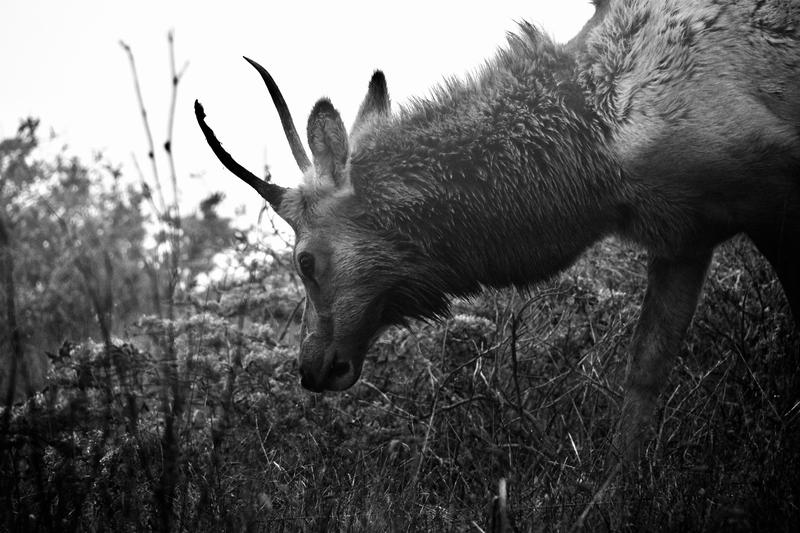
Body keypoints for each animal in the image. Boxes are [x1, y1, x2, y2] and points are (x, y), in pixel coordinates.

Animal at [194, 0, 799, 459]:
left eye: (304, 260)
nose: (311, 367)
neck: (597, 149)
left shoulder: (771, 193)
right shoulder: (684, 234)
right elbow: (645, 369)